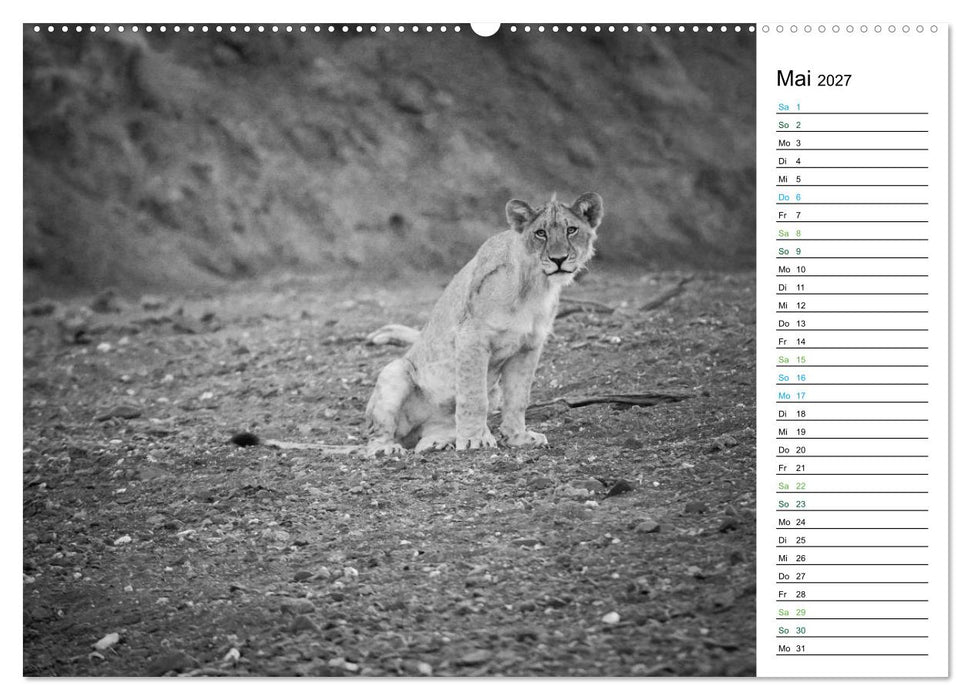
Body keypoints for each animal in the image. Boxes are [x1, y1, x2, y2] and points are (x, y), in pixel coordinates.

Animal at [363, 192, 604, 457]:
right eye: (541, 233)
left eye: (572, 230)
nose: (558, 259)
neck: (535, 286)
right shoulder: (472, 337)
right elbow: (473, 397)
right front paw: (473, 440)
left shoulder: (529, 347)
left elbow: (518, 398)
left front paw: (518, 437)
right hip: (394, 372)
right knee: (377, 437)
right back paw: (387, 448)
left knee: (422, 440)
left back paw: (438, 442)